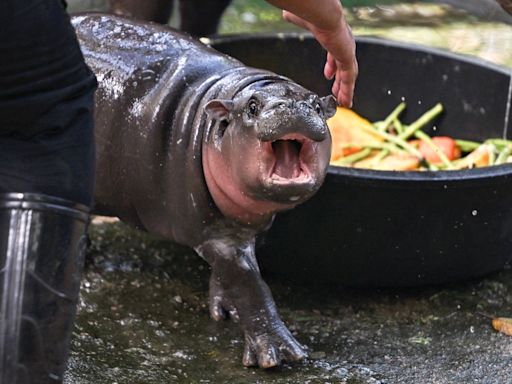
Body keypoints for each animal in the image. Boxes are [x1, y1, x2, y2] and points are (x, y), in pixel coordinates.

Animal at [73, 15, 336, 368]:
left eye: (316, 105)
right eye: (253, 107)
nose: (291, 106)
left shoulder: (243, 228)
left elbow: (234, 274)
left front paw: (224, 310)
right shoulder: (214, 235)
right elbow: (250, 285)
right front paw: (277, 355)